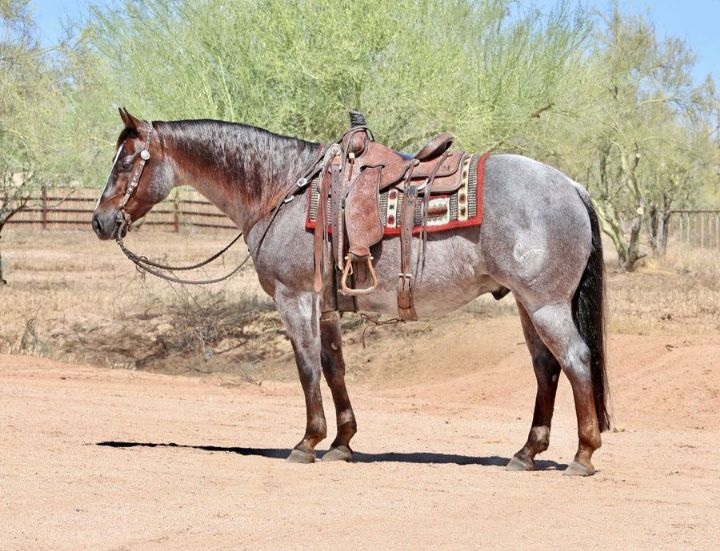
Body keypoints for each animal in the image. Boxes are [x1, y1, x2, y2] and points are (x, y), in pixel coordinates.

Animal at [92, 108, 610, 476]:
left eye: (126, 161)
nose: (100, 222)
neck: (283, 189)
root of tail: (573, 186)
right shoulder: (326, 304)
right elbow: (333, 366)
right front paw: (342, 443)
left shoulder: (295, 297)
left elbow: (305, 367)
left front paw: (307, 442)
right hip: (527, 304)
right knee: (547, 369)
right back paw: (526, 453)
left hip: (545, 304)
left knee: (576, 360)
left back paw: (582, 455)